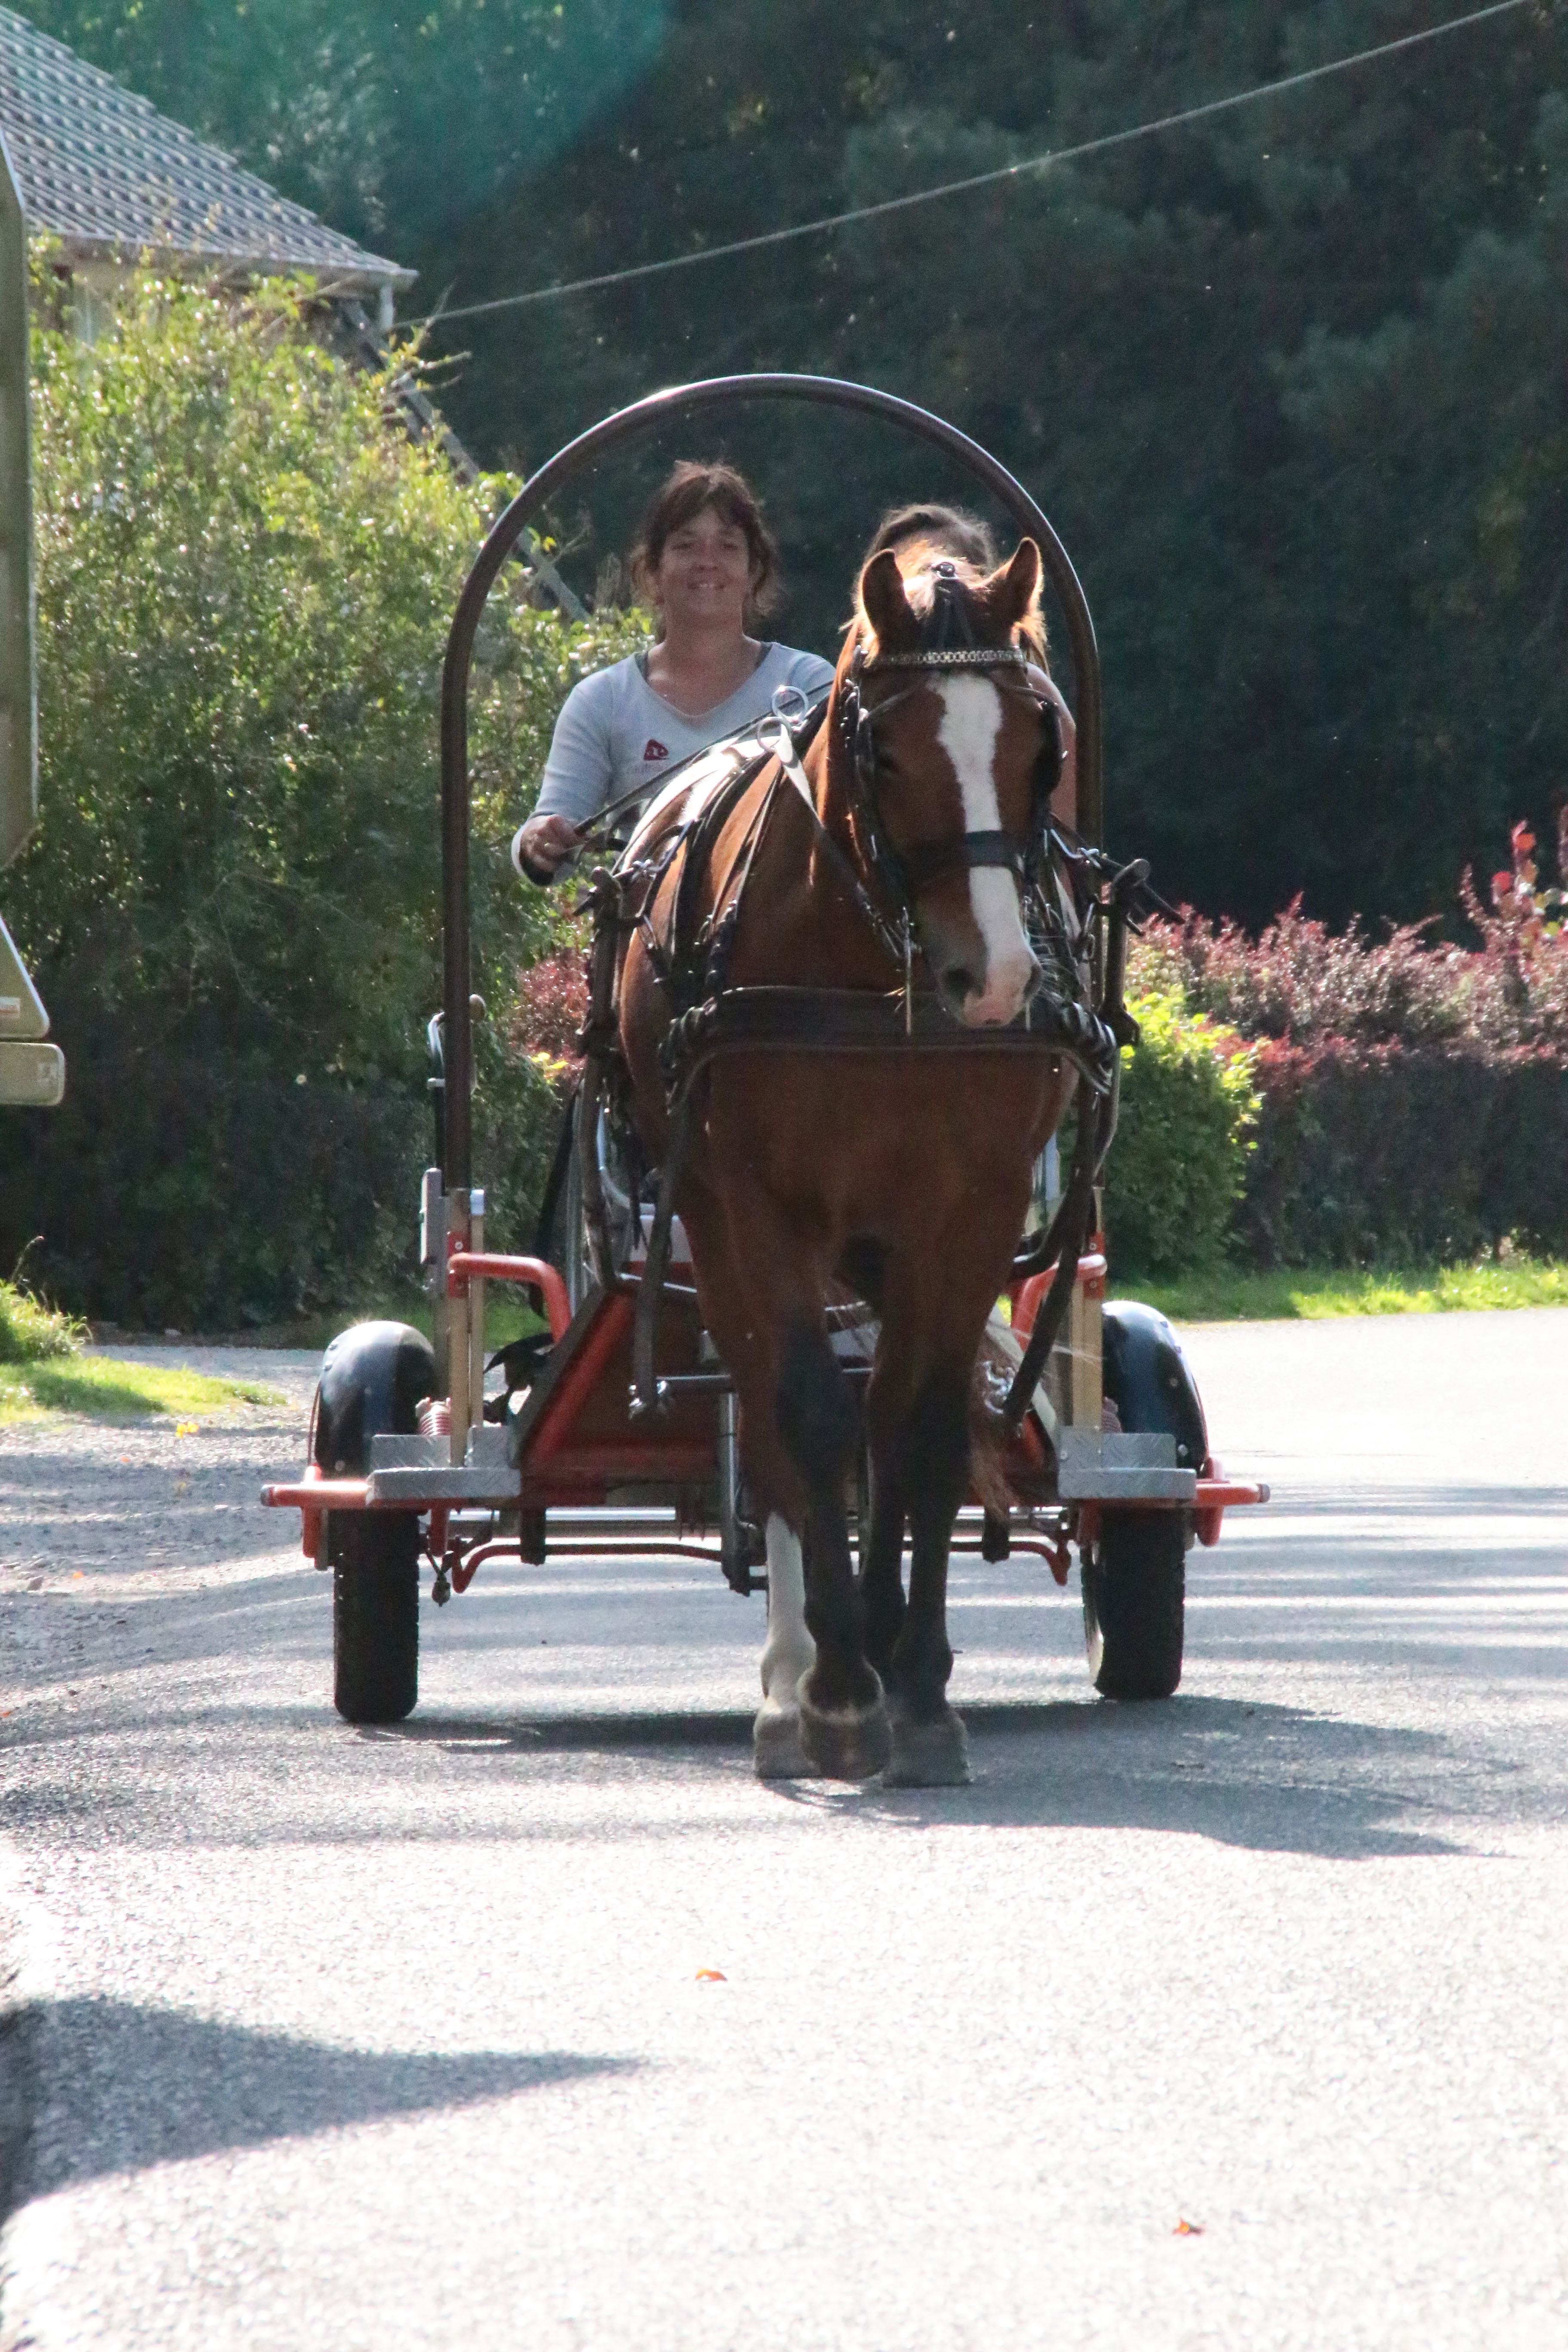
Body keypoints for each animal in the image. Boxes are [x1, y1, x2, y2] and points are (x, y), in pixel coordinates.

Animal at [616, 536, 1080, 1785]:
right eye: (886, 747)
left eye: (1041, 742)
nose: (996, 979)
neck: (877, 974)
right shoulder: (759, 1203)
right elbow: (811, 1415)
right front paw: (835, 1687)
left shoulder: (968, 1208)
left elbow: (916, 1432)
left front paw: (914, 1683)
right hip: (713, 1221)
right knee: (774, 1417)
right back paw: (794, 1680)